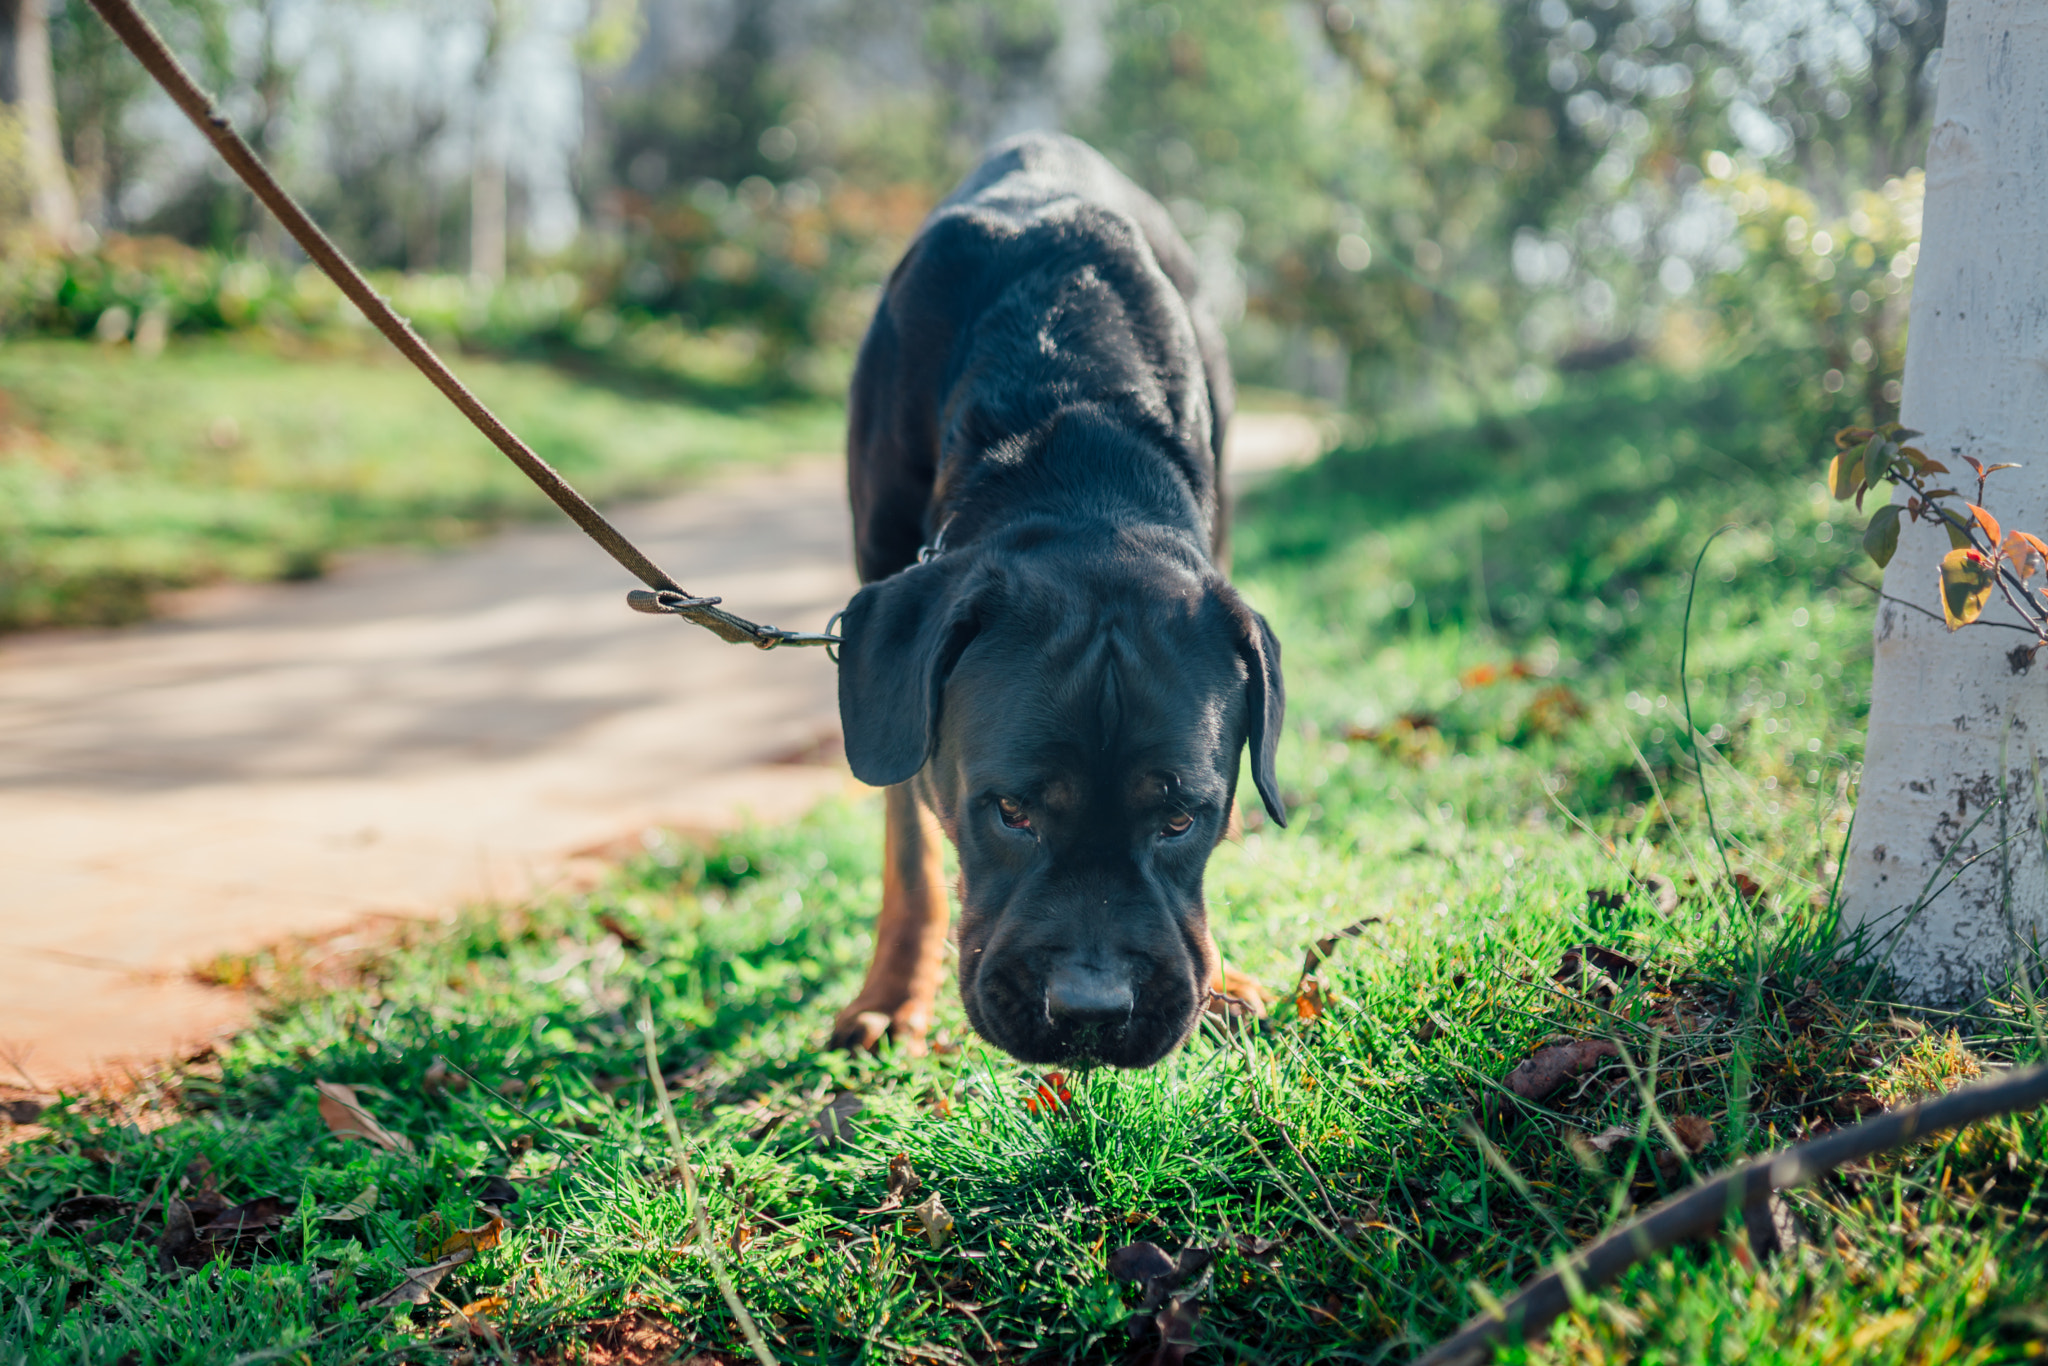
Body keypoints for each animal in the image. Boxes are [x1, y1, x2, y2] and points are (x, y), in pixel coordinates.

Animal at [827, 133, 1277, 1073]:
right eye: (1012, 813)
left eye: (1180, 819)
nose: (1092, 1013)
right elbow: (910, 844)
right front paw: (891, 993)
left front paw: (1221, 979)